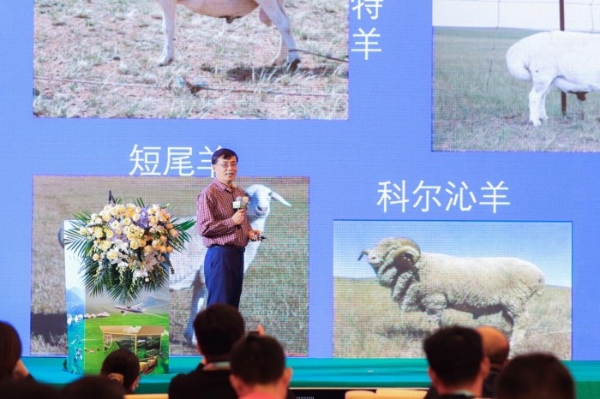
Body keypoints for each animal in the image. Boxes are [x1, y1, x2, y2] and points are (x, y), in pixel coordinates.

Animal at [169, 184, 290, 344]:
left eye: (270, 194)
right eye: (247, 194)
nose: (262, 209)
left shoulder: (200, 279)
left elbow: (197, 303)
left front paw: (190, 337)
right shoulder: (208, 276)